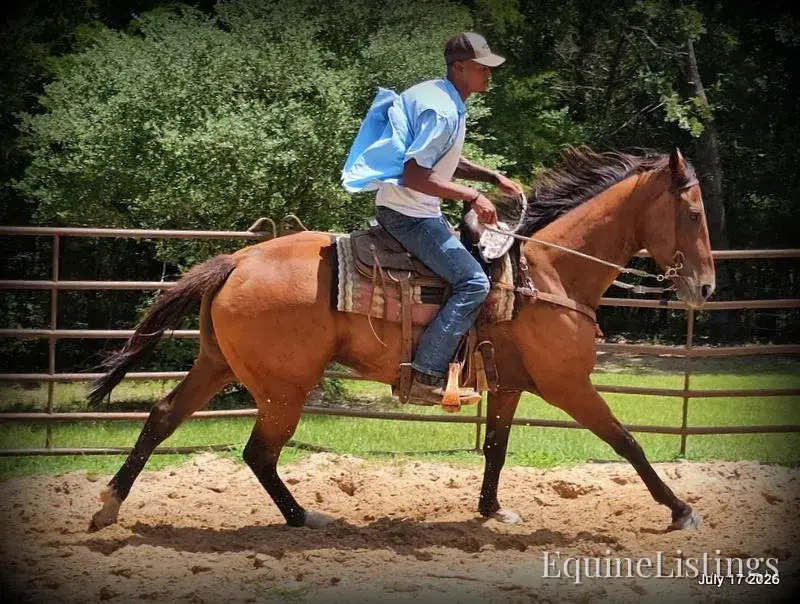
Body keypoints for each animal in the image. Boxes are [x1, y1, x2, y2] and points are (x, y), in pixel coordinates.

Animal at [86, 147, 715, 532]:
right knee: (258, 452)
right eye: (692, 212)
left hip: (220, 366)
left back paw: (110, 506)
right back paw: (304, 517)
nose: (705, 286)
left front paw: (491, 510)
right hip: (283, 387)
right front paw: (681, 510)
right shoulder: (569, 385)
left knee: (164, 416)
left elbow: (496, 448)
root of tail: (237, 260)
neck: (548, 273)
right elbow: (627, 443)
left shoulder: (511, 386)